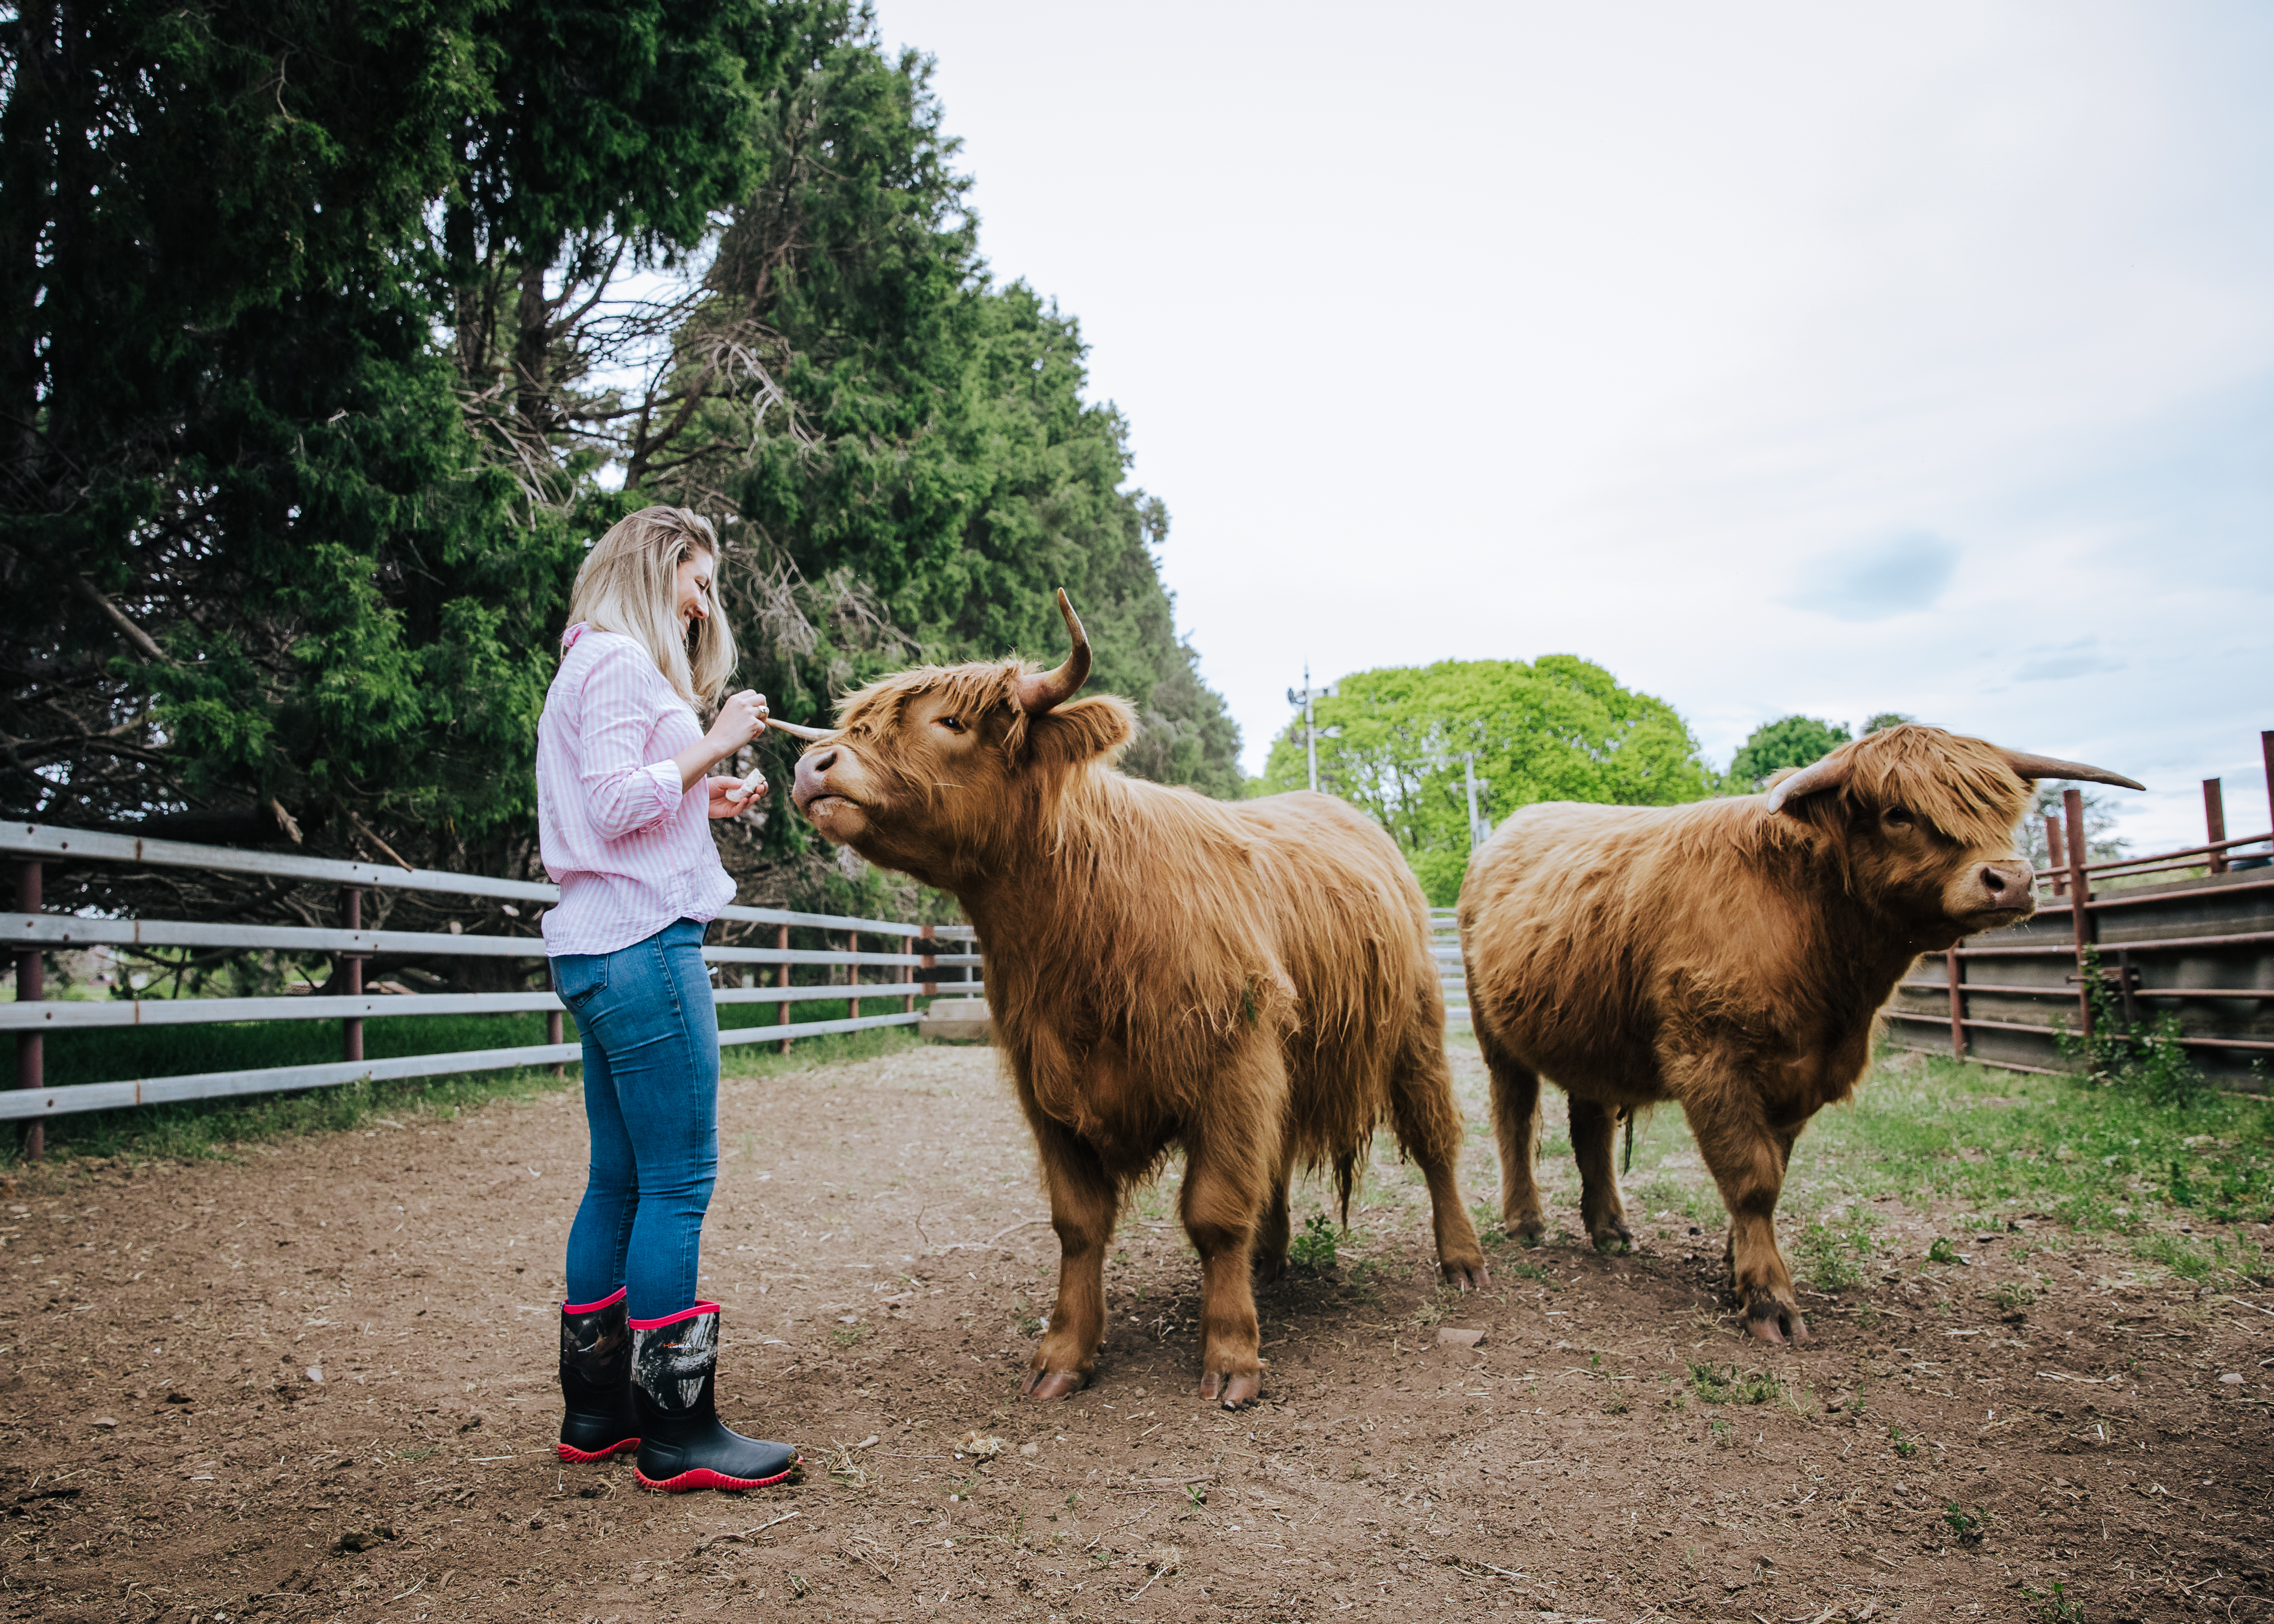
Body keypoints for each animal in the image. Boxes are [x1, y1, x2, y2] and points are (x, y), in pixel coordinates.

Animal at [778, 587, 1491, 1401]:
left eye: (951, 722)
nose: (814, 763)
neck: (1079, 930)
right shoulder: (1046, 1084)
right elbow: (1079, 1223)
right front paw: (1064, 1354)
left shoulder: (1232, 1063)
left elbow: (1215, 1212)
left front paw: (1232, 1356)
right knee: (1275, 1162)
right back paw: (1272, 1261)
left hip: (1416, 1032)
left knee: (1436, 1141)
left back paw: (1461, 1260)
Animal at [1464, 723, 2137, 1337]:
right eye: (1898, 813)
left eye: (2001, 808)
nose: (2011, 879)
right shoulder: (1710, 1060)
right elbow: (1752, 1178)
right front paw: (1768, 1297)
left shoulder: (1801, 1073)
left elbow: (1773, 1171)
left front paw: (1736, 1263)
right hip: (1496, 1035)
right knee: (1513, 1117)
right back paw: (1525, 1221)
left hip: (1591, 1034)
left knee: (1591, 1127)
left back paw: (1609, 1229)